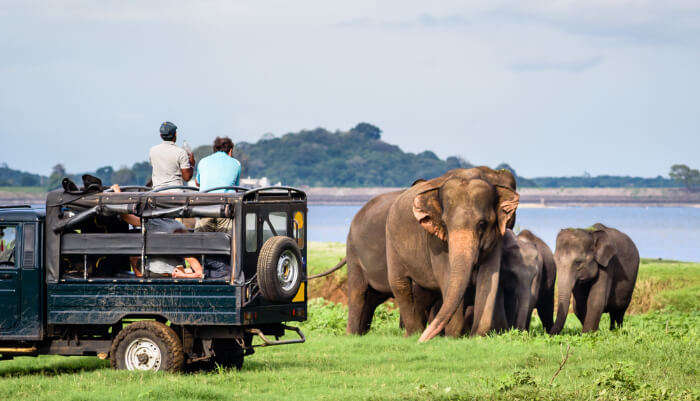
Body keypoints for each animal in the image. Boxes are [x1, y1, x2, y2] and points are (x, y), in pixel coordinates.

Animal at [382, 166, 520, 340]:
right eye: (444, 224)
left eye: (482, 224)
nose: (423, 341)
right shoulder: (435, 242)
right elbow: (447, 278)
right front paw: (453, 337)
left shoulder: (496, 239)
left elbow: (489, 278)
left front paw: (477, 336)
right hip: (391, 242)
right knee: (400, 284)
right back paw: (414, 334)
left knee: (422, 293)